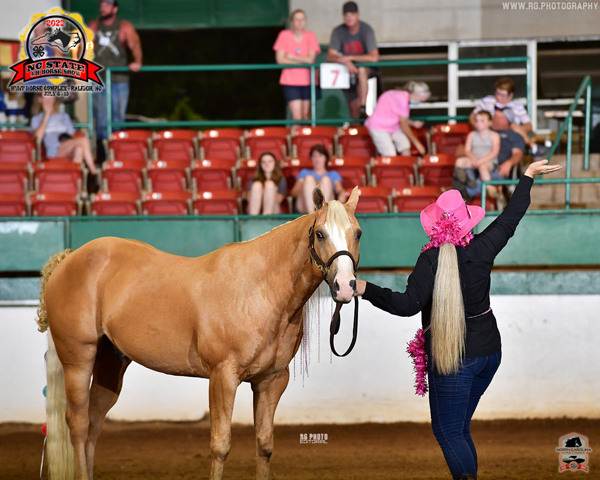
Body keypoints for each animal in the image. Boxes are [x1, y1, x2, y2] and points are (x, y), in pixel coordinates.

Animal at [39, 186, 364, 478]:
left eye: (358, 233)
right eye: (320, 233)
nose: (346, 286)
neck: (257, 289)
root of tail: (67, 261)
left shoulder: (271, 381)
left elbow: (264, 445)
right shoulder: (222, 377)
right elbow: (220, 446)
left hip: (109, 363)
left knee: (93, 424)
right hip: (78, 360)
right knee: (78, 425)